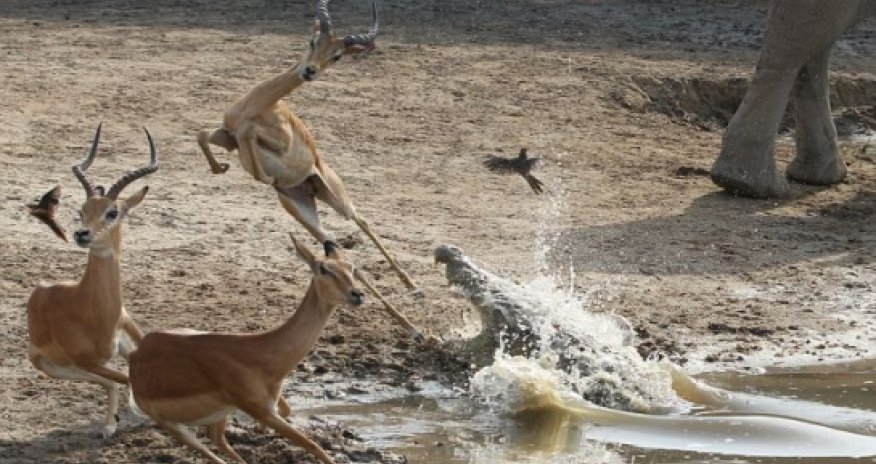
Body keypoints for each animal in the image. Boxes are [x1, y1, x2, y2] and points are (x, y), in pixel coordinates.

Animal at [26, 123, 158, 437]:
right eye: (81, 211)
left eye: (112, 212)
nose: (81, 234)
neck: (93, 311)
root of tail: (38, 292)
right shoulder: (87, 360)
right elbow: (127, 378)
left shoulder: (131, 337)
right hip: (54, 366)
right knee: (113, 381)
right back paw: (110, 425)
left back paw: (113, 422)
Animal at [129, 234, 366, 464]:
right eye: (324, 268)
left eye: (351, 266)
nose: (358, 294)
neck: (258, 355)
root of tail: (136, 355)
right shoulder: (261, 410)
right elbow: (315, 447)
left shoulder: (269, 407)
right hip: (173, 426)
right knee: (207, 448)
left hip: (219, 414)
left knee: (218, 440)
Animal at [196, 0, 428, 340]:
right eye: (312, 41)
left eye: (337, 55)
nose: (309, 71)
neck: (260, 106)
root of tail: (313, 184)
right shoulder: (228, 134)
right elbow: (204, 135)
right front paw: (221, 167)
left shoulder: (264, 140)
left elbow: (255, 154)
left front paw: (260, 172)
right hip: (301, 209)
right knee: (335, 244)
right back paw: (410, 324)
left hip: (337, 197)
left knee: (362, 221)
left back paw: (413, 291)